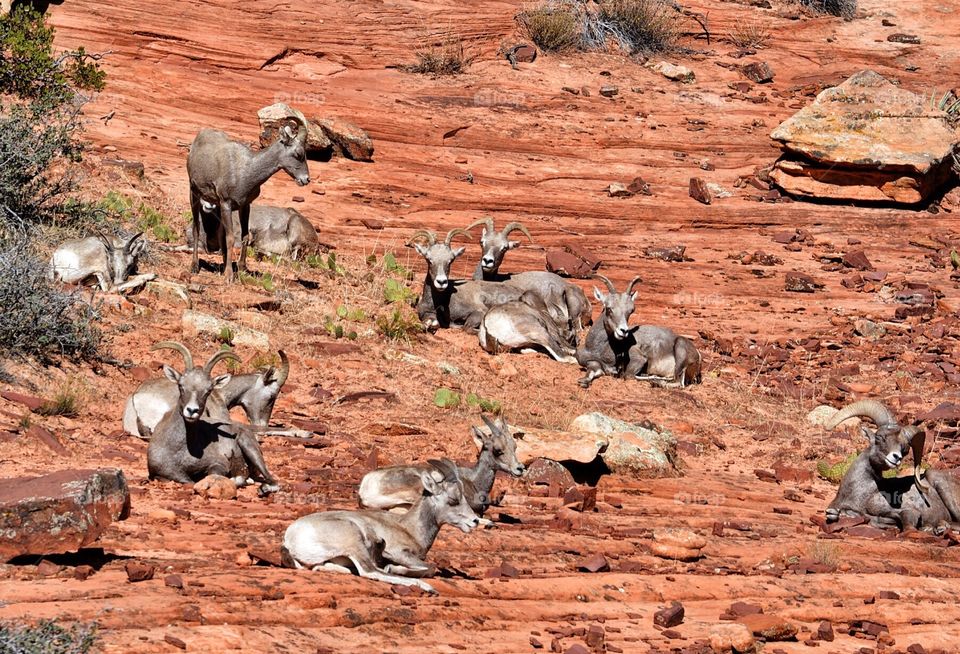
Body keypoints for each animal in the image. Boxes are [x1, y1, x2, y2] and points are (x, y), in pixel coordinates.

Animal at [146, 341, 280, 496]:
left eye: (208, 390)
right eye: (181, 385)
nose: (192, 411)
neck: (180, 451)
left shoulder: (218, 463)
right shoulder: (164, 474)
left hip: (250, 448)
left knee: (273, 481)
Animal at [187, 119, 310, 282]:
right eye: (298, 154)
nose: (306, 179)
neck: (246, 172)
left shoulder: (244, 206)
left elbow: (244, 237)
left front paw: (242, 269)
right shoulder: (226, 204)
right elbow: (230, 238)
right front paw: (229, 276)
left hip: (217, 206)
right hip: (194, 195)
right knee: (196, 228)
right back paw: (194, 266)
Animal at [282, 458, 480, 593]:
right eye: (453, 500)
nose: (474, 521)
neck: (408, 527)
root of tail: (290, 540)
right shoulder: (399, 553)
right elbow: (430, 567)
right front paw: (393, 568)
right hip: (354, 542)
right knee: (370, 571)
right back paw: (426, 587)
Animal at [824, 400, 960, 533]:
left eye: (904, 450)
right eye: (879, 437)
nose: (896, 457)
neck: (858, 493)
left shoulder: (908, 512)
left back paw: (939, 527)